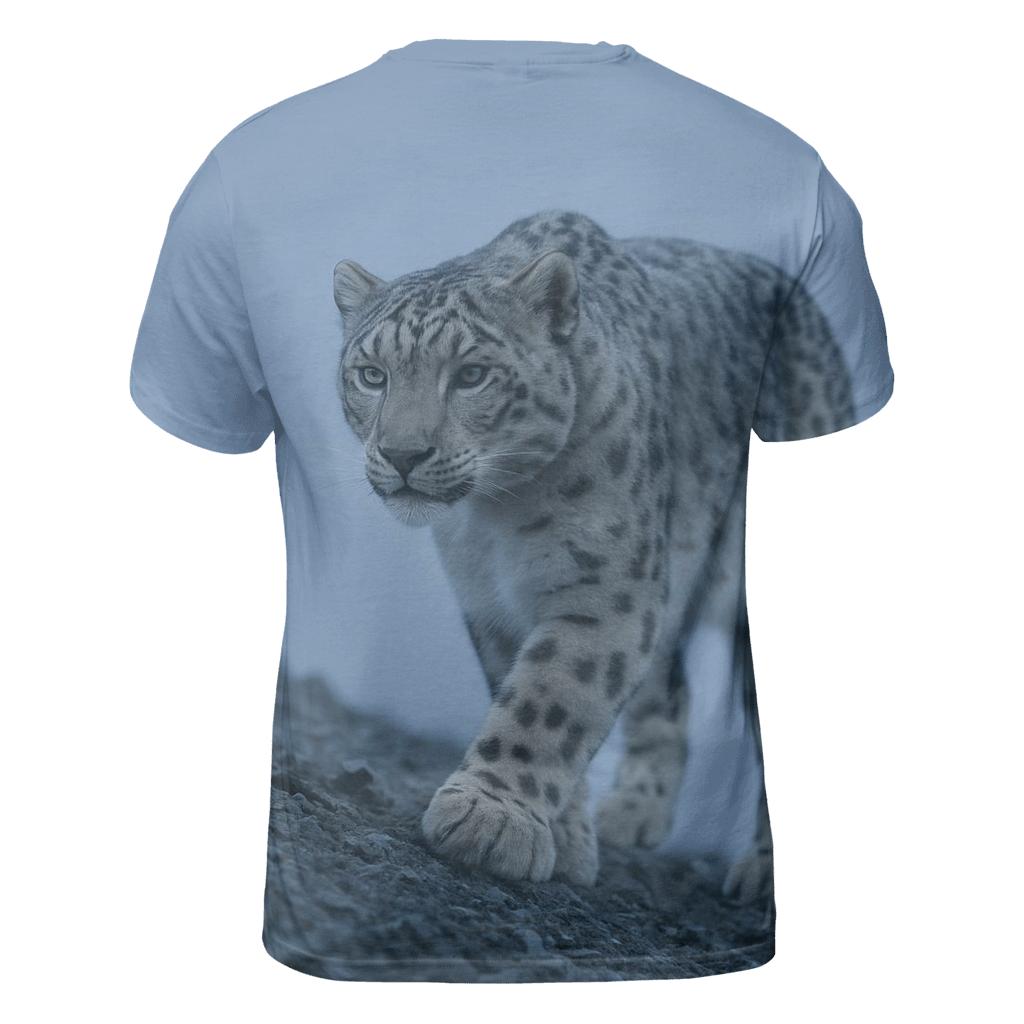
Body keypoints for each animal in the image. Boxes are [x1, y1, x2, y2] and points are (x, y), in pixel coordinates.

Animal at [332, 210, 852, 891]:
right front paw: (566, 841)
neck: (496, 519)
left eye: (472, 374)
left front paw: (487, 820)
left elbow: (548, 699)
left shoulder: (607, 591)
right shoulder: (491, 603)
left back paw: (761, 871)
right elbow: (526, 692)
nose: (401, 454)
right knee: (669, 690)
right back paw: (633, 814)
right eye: (372, 374)